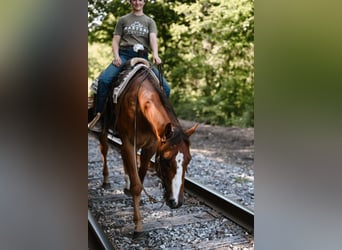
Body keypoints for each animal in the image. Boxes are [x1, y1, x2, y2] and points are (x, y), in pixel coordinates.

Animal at [90, 58, 198, 236]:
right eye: (166, 160)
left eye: (188, 160)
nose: (176, 202)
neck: (140, 104)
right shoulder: (128, 142)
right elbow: (137, 186)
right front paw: (138, 226)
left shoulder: (150, 148)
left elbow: (139, 179)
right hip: (104, 128)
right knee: (104, 149)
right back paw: (106, 180)